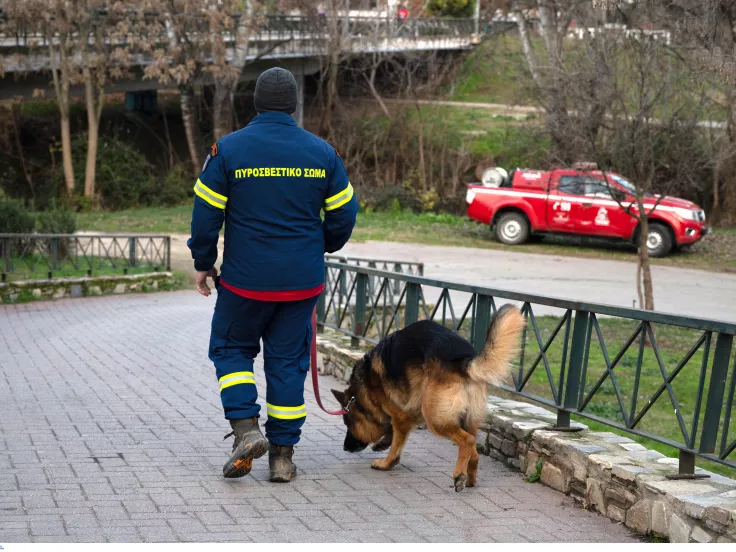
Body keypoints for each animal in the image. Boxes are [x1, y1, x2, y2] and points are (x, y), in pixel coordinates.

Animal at [330, 306, 528, 492]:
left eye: (348, 423)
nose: (345, 448)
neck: (365, 391)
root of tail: (463, 361)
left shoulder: (400, 415)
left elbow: (396, 443)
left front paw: (386, 462)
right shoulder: (407, 415)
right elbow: (393, 433)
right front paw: (383, 444)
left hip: (435, 419)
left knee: (467, 441)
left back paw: (459, 474)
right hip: (467, 420)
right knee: (474, 451)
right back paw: (469, 478)